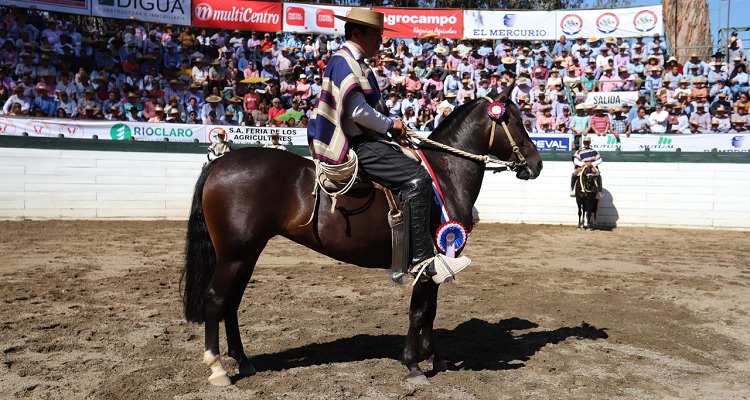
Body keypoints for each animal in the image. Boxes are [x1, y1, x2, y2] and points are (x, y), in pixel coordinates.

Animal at [182, 85, 548, 388]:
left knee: (231, 302)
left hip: (248, 252)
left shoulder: (436, 263)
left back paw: (243, 361)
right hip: (234, 254)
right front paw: (413, 365)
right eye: (517, 121)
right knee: (215, 299)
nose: (536, 164)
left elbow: (429, 311)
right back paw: (217, 368)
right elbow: (419, 311)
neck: (443, 175)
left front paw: (434, 357)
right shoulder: (425, 261)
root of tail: (222, 161)